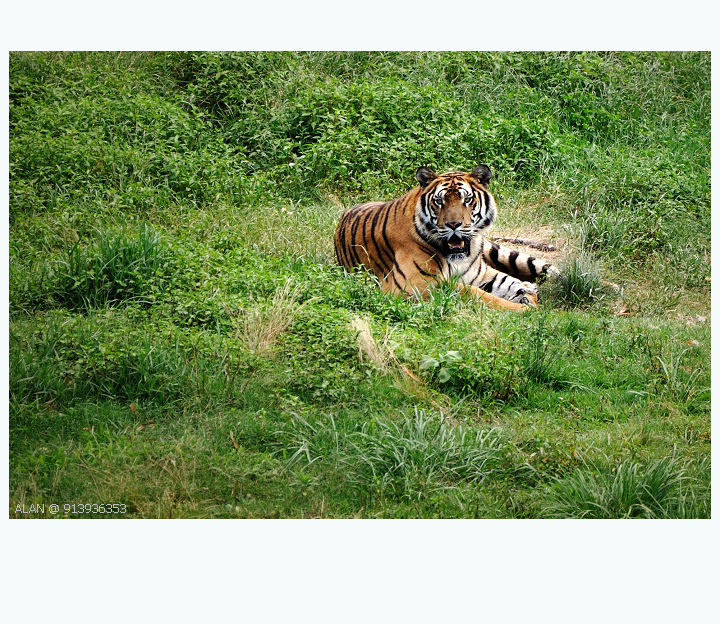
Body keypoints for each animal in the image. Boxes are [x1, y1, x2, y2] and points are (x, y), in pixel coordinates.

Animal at [334, 166, 560, 312]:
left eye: (467, 199)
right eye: (439, 201)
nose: (453, 224)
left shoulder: (479, 273)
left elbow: (506, 281)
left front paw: (528, 294)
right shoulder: (415, 285)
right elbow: (475, 293)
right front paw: (524, 308)